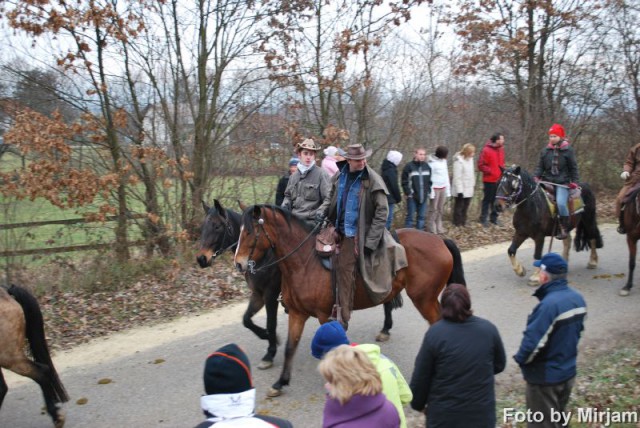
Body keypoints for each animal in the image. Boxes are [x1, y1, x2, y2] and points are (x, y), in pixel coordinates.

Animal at [195, 199, 402, 370]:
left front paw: (270, 350)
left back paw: (385, 329)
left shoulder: (270, 296)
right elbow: (246, 320)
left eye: (217, 226)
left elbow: (270, 323)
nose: (201, 259)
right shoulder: (258, 295)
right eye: (203, 226)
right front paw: (267, 338)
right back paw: (386, 328)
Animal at [232, 206, 462, 396]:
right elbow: (290, 346)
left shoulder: (324, 316)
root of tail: (440, 241)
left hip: (424, 298)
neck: (305, 262)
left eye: (249, 232)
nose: (239, 264)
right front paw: (280, 383)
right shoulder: (297, 313)